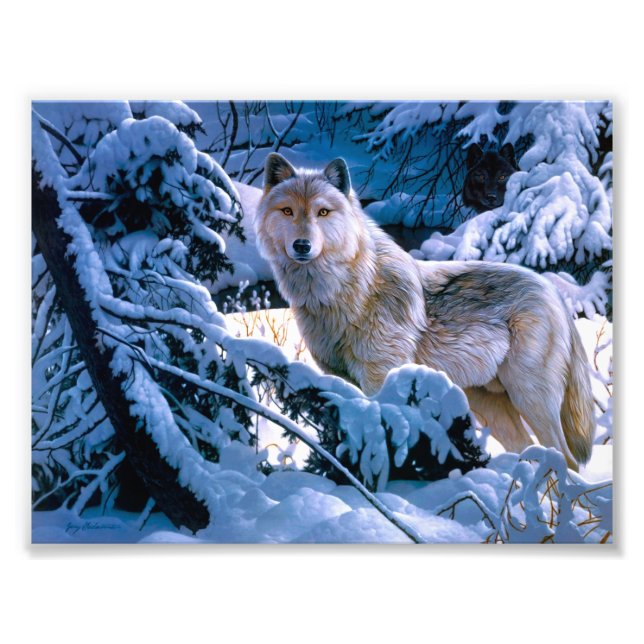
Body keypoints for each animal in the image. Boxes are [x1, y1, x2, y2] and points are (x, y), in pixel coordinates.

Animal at [255, 153, 595, 470]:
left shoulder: (380, 378)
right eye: (288, 211)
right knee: (529, 451)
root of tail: (553, 292)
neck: (344, 292)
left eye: (322, 212)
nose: (302, 245)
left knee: (566, 459)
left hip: (530, 398)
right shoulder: (339, 379)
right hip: (490, 405)